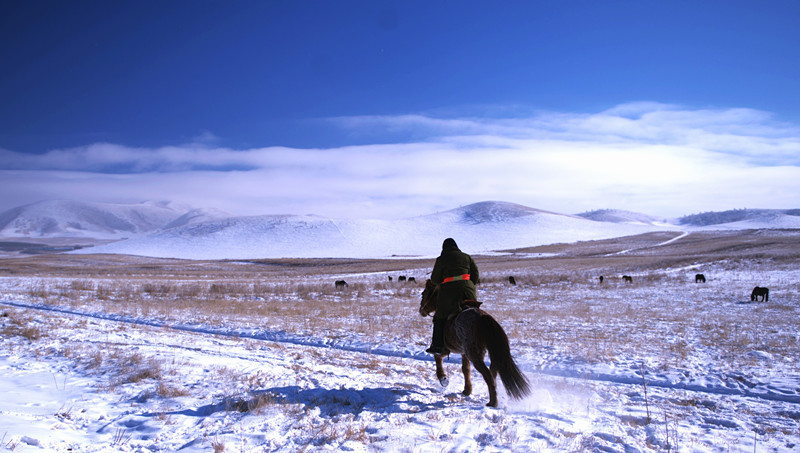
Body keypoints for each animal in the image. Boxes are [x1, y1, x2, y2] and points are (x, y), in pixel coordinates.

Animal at [418, 278, 532, 406]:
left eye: (423, 293)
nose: (421, 310)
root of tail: (482, 317)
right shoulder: (463, 352)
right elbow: (466, 369)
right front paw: (467, 390)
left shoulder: (445, 349)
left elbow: (438, 358)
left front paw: (443, 379)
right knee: (492, 372)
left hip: (474, 355)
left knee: (488, 375)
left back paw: (492, 403)